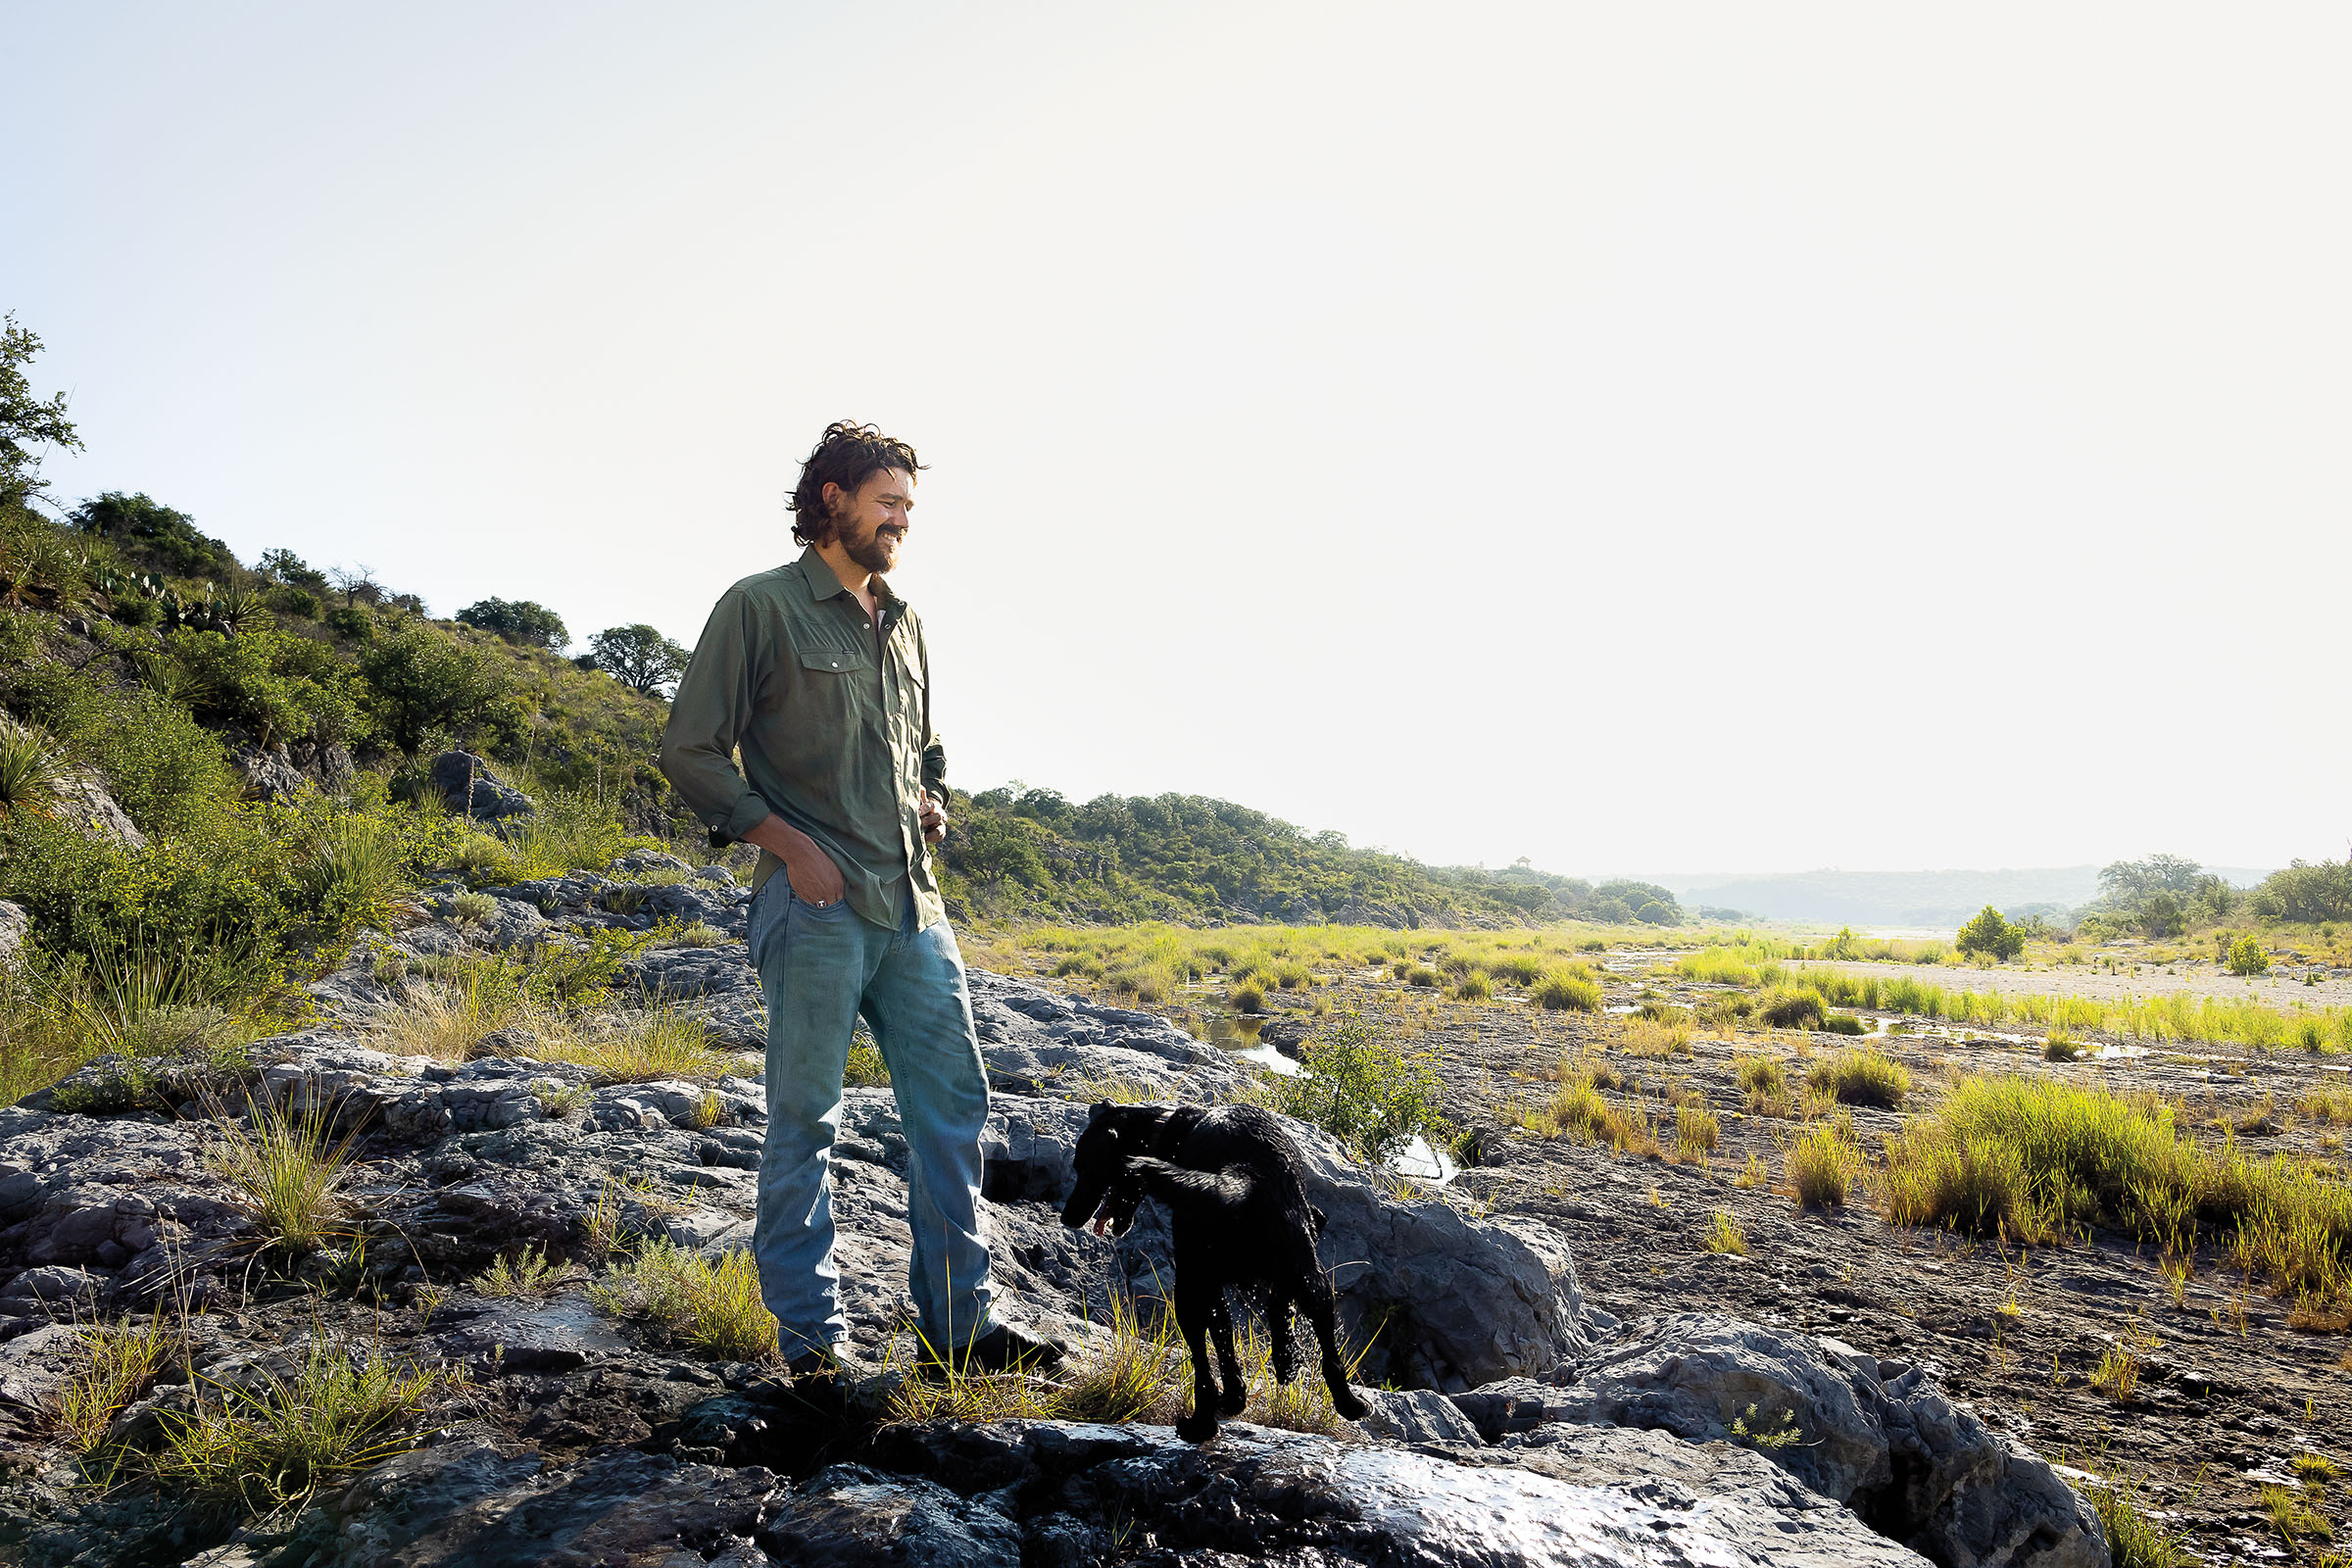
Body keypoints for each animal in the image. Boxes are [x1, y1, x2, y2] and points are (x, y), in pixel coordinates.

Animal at [1062, 1100, 1373, 1439]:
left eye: (1083, 1166)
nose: (1067, 1217)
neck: (1168, 1129)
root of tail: (1244, 1172)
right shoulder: (1312, 1227)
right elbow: (1255, 1321)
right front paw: (1282, 1361)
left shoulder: (1206, 1280)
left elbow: (1231, 1341)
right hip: (1312, 1280)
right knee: (1329, 1354)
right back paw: (1349, 1403)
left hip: (1187, 1290)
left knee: (1202, 1366)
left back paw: (1200, 1424)